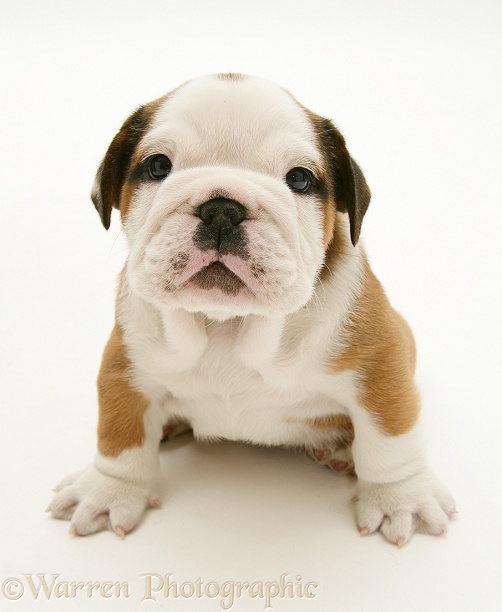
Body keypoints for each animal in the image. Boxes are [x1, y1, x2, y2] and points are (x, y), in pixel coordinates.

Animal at [49, 73, 456, 544]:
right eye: (158, 167)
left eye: (299, 179)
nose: (222, 209)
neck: (229, 324)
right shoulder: (126, 362)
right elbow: (120, 433)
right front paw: (110, 489)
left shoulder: (379, 363)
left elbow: (390, 437)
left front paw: (400, 497)